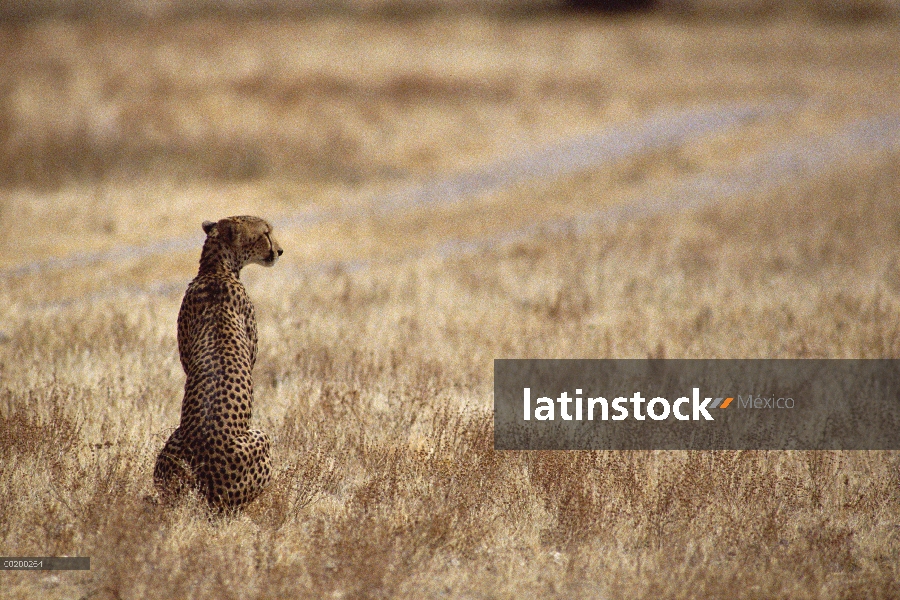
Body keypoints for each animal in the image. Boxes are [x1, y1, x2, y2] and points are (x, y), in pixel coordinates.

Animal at [153, 213, 284, 508]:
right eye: (265, 233)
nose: (280, 251)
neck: (215, 270)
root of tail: (202, 480)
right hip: (262, 438)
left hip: (170, 446)